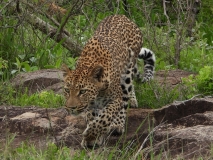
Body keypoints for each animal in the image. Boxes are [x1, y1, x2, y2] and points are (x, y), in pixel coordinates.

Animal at [61, 14, 155, 148]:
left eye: (82, 91)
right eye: (67, 90)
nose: (71, 108)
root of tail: (122, 16)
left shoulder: (116, 98)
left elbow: (105, 117)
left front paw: (91, 135)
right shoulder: (91, 105)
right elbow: (93, 118)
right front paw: (94, 137)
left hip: (127, 74)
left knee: (125, 99)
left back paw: (118, 124)